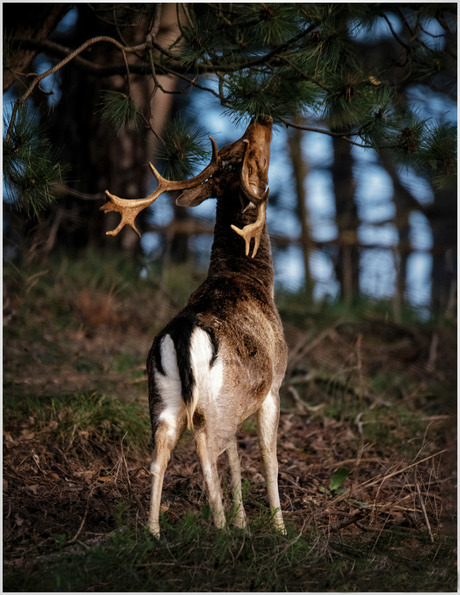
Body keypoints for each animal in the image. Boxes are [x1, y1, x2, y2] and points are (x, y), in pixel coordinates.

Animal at [102, 117, 286, 540]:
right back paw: (219, 529)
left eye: (239, 145)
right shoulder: (274, 386)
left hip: (164, 399)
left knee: (159, 455)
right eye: (252, 152)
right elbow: (268, 459)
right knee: (205, 450)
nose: (263, 118)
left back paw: (154, 533)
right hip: (213, 402)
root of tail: (183, 335)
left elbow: (236, 459)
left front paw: (244, 522)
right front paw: (280, 529)